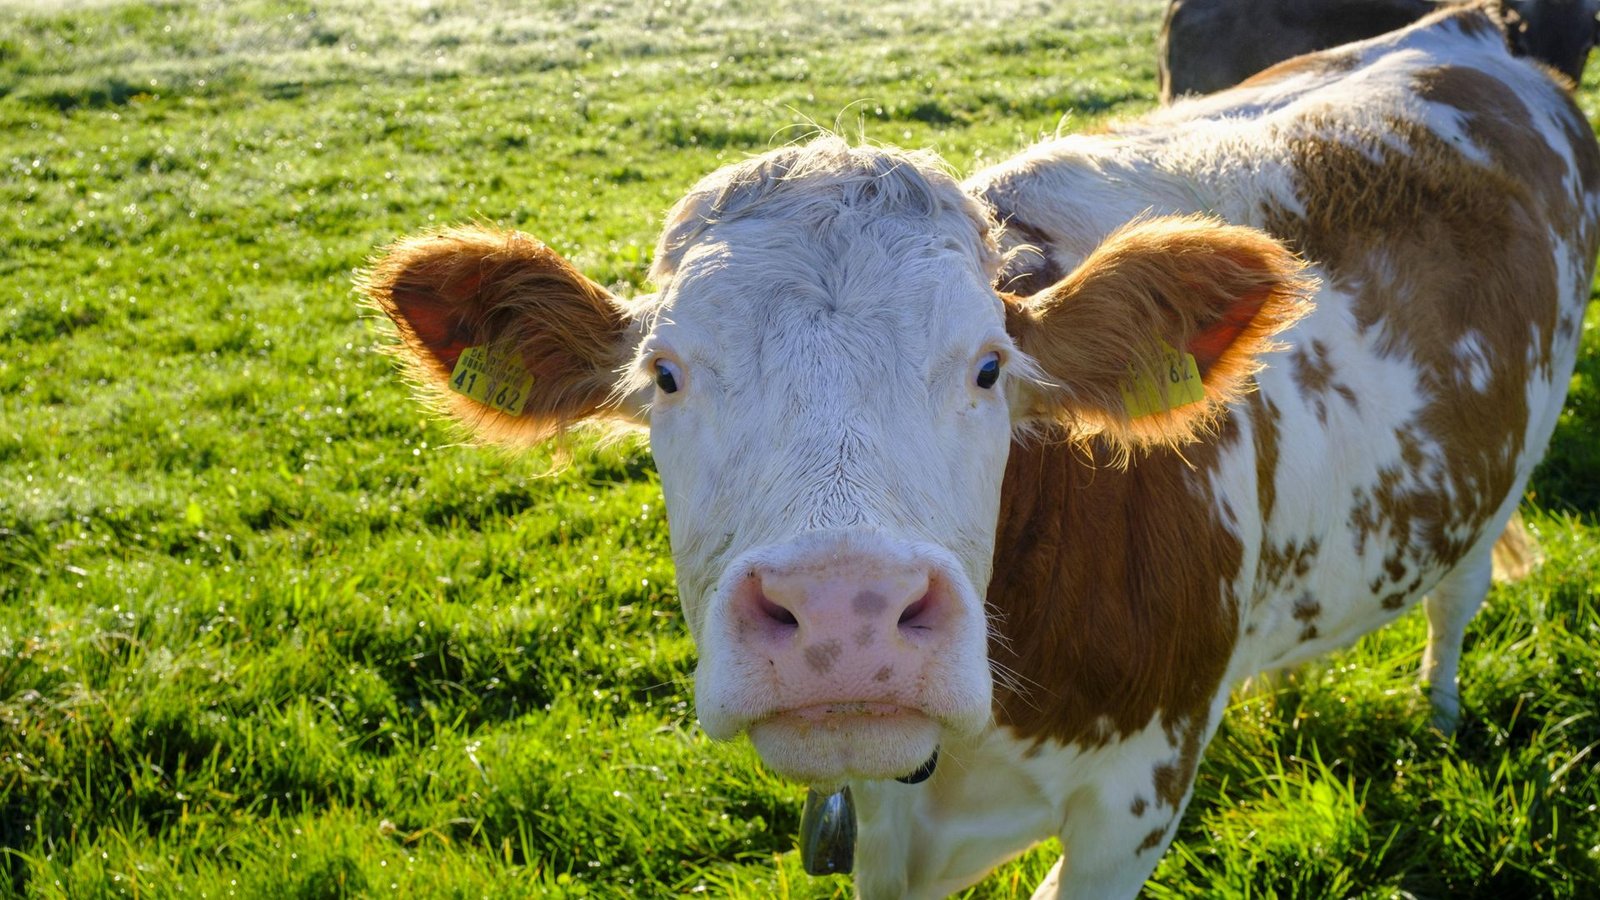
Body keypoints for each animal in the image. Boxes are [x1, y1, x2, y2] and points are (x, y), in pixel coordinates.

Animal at [361, 6, 1599, 897]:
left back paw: (1435, 717)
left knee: (1455, 600)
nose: (845, 617)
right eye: (665, 375)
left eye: (988, 368)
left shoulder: (1131, 807)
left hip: (1501, 475)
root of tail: (1468, 29)